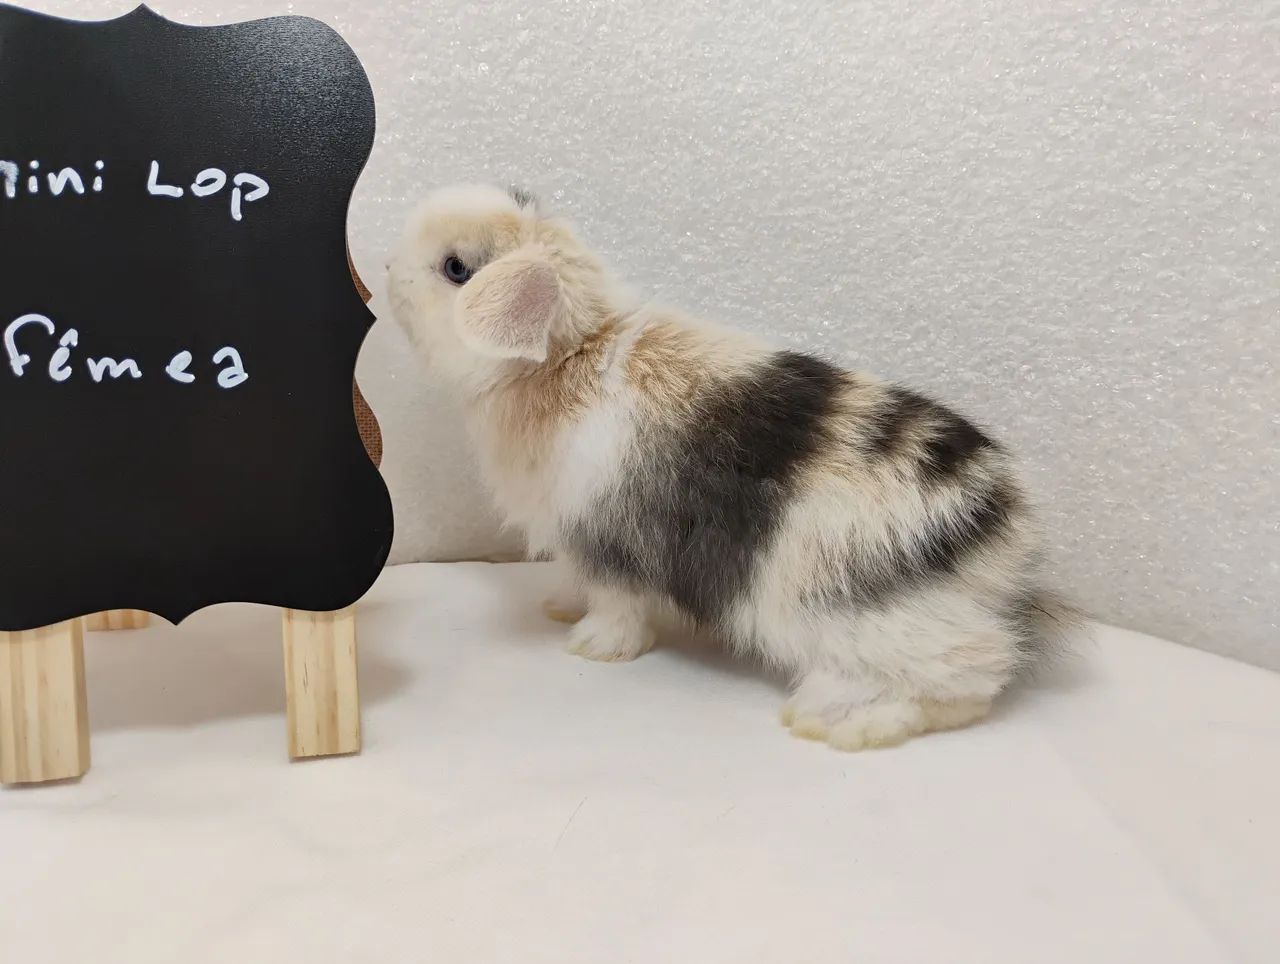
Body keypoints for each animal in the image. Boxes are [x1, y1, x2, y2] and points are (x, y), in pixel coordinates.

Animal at [387, 183, 1082, 751]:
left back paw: (832, 721)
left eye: (456, 268)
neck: (566, 358)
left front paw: (592, 648)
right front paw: (559, 608)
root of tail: (1008, 539)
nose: (389, 267)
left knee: (973, 677)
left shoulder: (608, 548)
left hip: (874, 623)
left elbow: (616, 608)